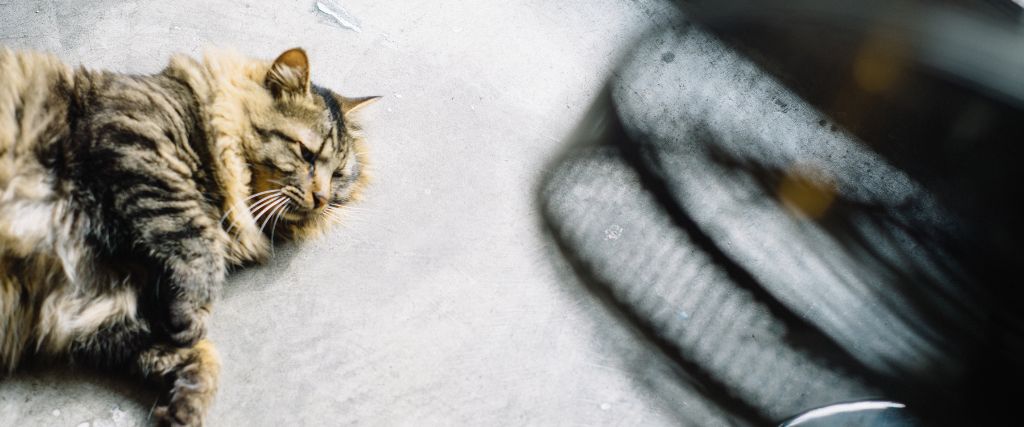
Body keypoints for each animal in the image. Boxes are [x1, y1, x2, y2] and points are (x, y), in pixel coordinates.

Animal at [0, 46, 376, 421]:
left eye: (338, 175)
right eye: (307, 154)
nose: (322, 198)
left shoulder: (94, 303)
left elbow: (189, 354)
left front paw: (186, 404)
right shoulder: (135, 142)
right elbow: (196, 240)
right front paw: (192, 317)